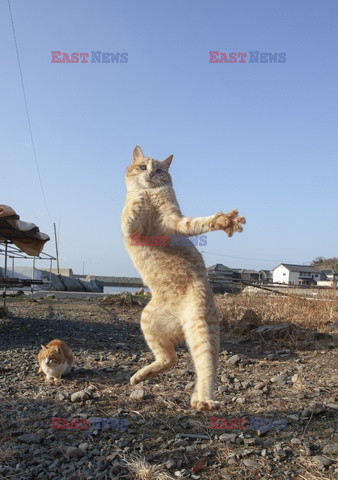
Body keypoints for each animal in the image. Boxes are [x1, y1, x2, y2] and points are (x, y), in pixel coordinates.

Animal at [121, 144, 246, 410]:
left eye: (159, 169)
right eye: (142, 166)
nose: (150, 174)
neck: (152, 197)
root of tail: (179, 324)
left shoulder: (174, 220)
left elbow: (196, 223)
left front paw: (225, 220)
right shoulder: (131, 229)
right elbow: (130, 214)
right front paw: (137, 199)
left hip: (201, 329)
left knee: (200, 367)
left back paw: (203, 400)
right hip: (148, 322)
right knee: (170, 358)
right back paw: (139, 377)